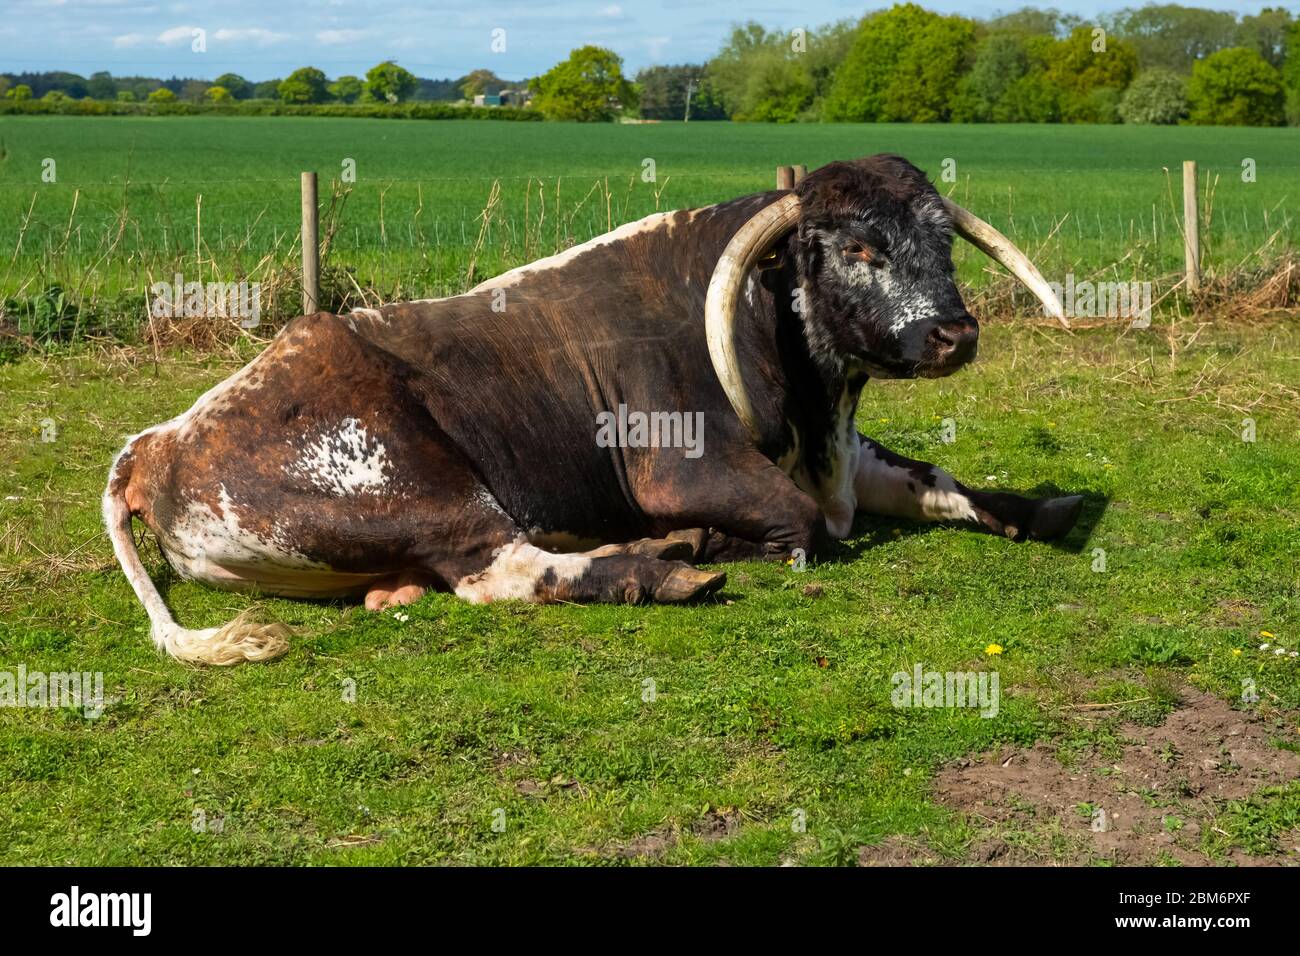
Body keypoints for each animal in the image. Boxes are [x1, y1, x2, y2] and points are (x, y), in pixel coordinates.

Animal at [104, 154, 1082, 665]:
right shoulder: (687, 468)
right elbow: (802, 526)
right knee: (503, 570)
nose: (955, 333)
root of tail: (155, 443)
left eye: (940, 239)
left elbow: (935, 476)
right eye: (858, 247)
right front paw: (712, 542)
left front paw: (1039, 507)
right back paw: (667, 565)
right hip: (418, 490)